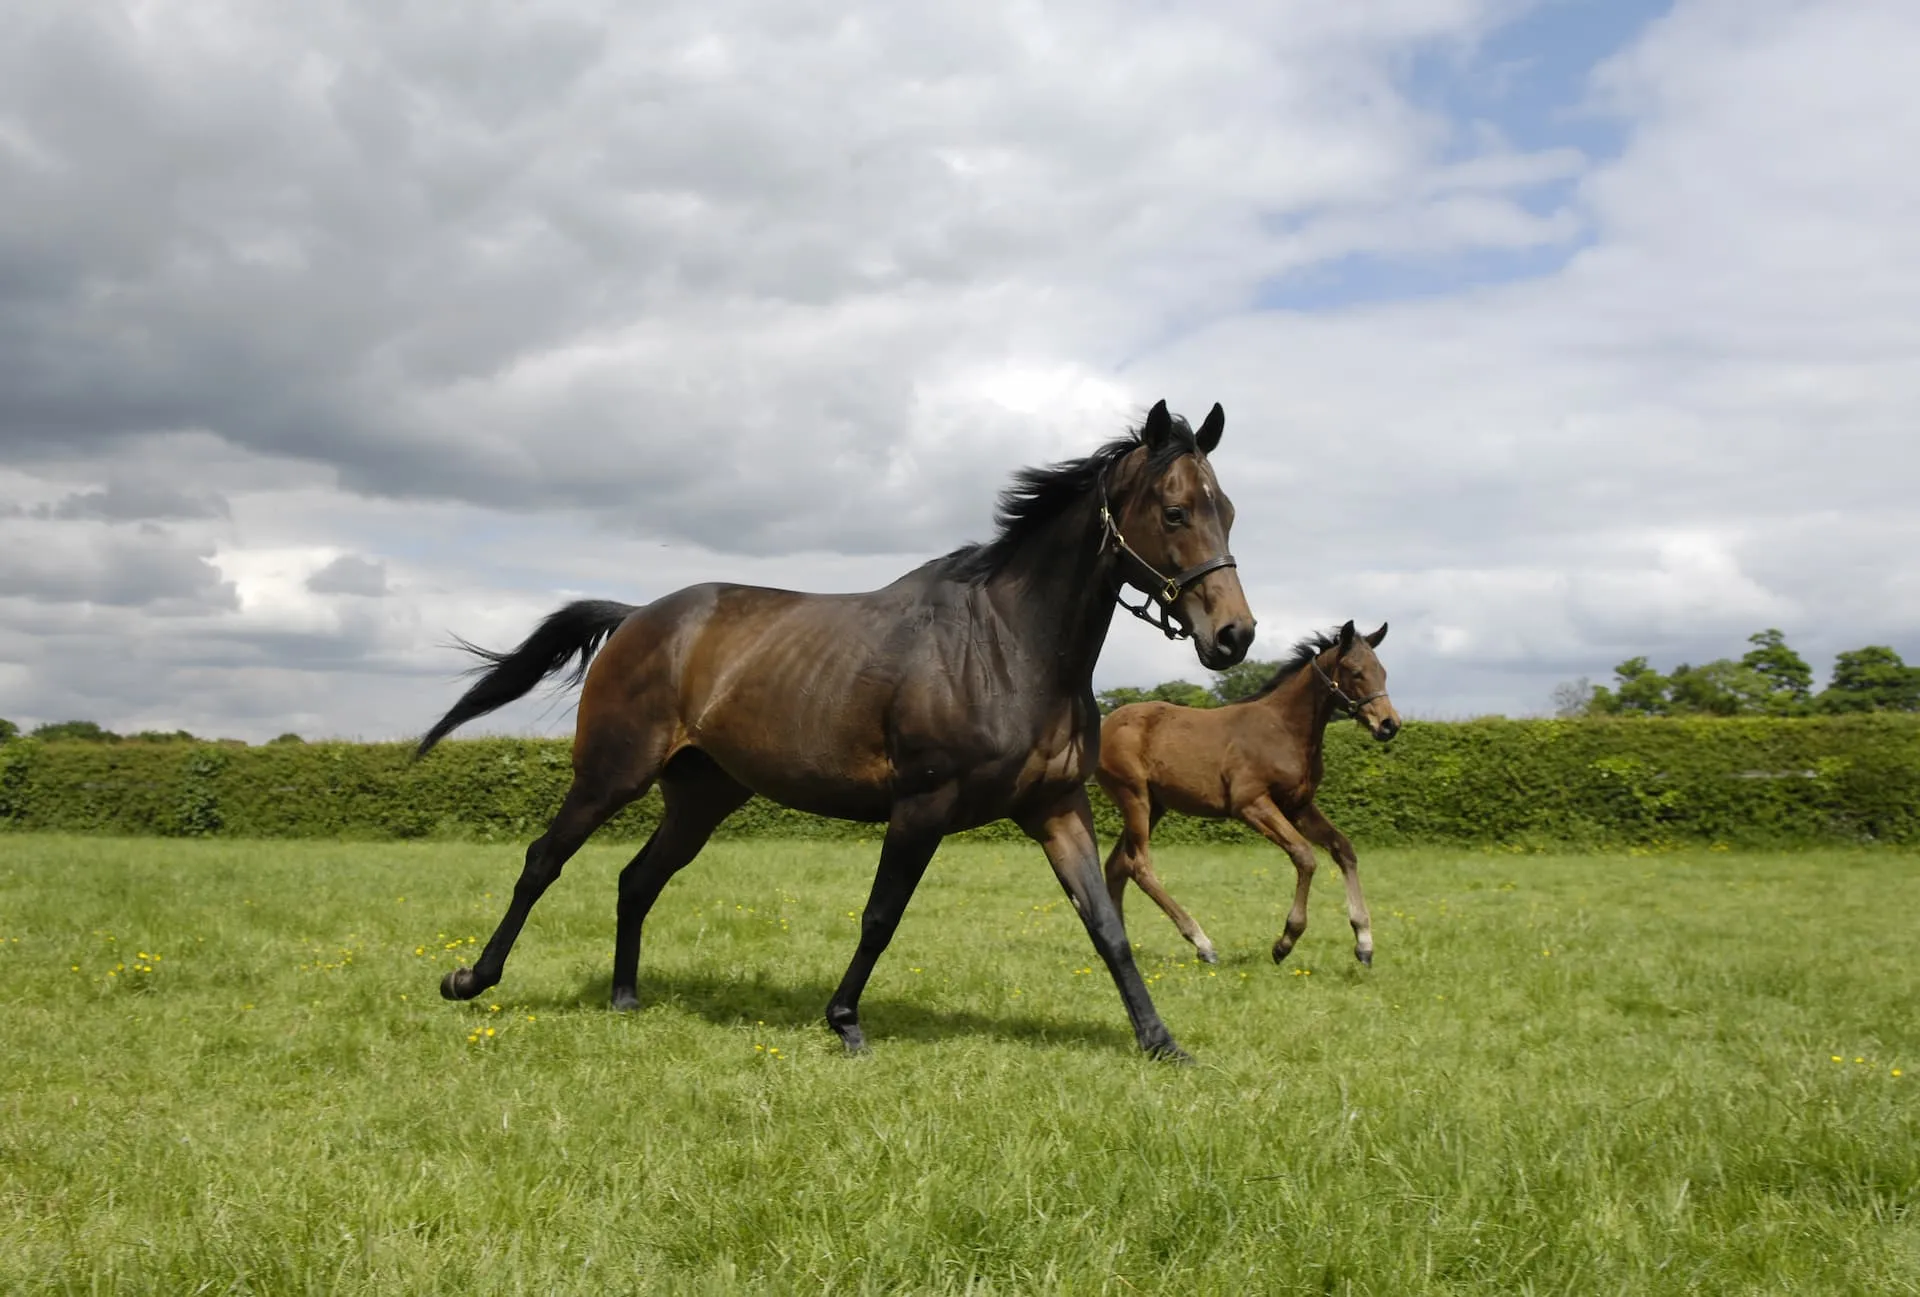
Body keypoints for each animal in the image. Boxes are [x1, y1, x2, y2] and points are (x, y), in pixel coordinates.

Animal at [418, 400, 1251, 1059]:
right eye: (1175, 510)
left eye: (1230, 510)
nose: (1233, 635)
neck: (1007, 644)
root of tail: (636, 617)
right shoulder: (922, 804)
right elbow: (881, 915)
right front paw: (845, 1020)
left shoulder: (1056, 806)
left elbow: (1106, 925)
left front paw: (1161, 1042)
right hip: (608, 775)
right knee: (543, 861)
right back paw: (470, 978)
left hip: (701, 797)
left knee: (637, 879)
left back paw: (626, 999)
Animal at [1098, 621, 1397, 966]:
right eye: (1356, 672)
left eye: (1383, 672)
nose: (1389, 724)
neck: (1284, 729)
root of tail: (1104, 726)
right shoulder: (1251, 804)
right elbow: (1304, 855)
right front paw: (1285, 942)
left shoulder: (1298, 806)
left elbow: (1343, 848)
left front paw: (1364, 942)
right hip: (1135, 797)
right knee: (1139, 866)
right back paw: (1202, 942)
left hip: (1154, 806)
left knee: (1117, 865)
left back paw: (1118, 944)